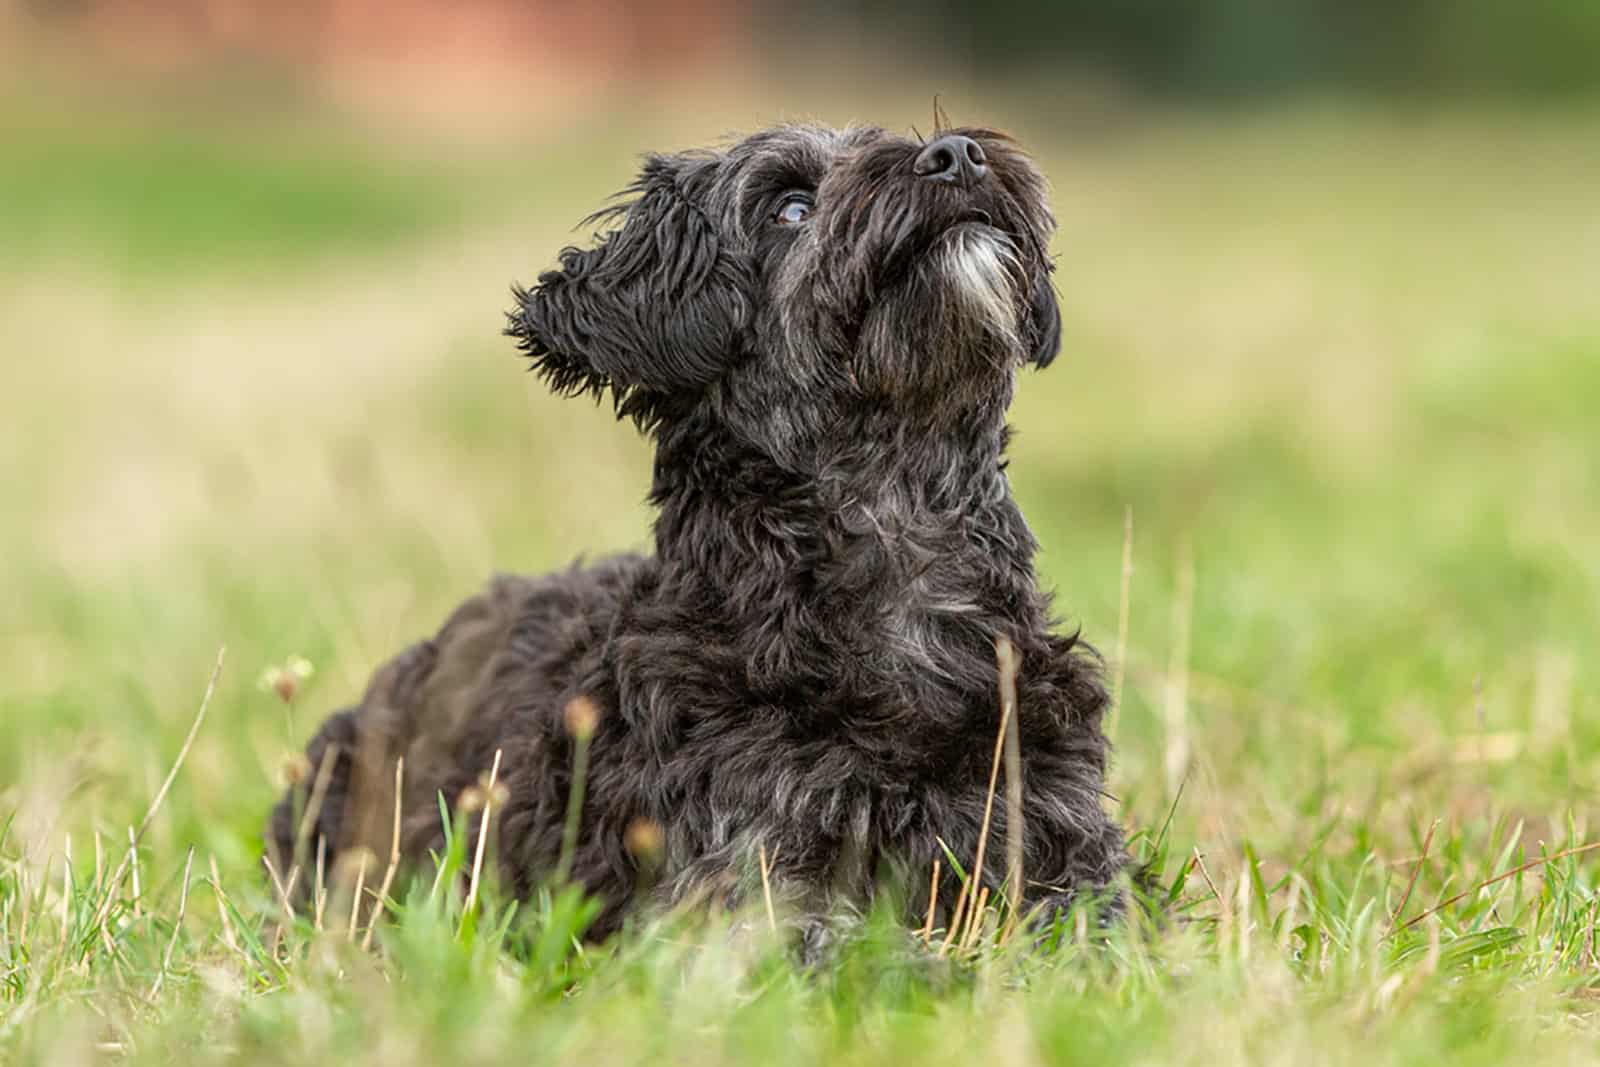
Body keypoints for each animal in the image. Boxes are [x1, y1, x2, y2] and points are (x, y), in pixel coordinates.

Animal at [268, 120, 1126, 947]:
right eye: (790, 207)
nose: (958, 154)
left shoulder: (1059, 832)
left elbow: (1095, 920)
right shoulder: (739, 884)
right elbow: (863, 950)